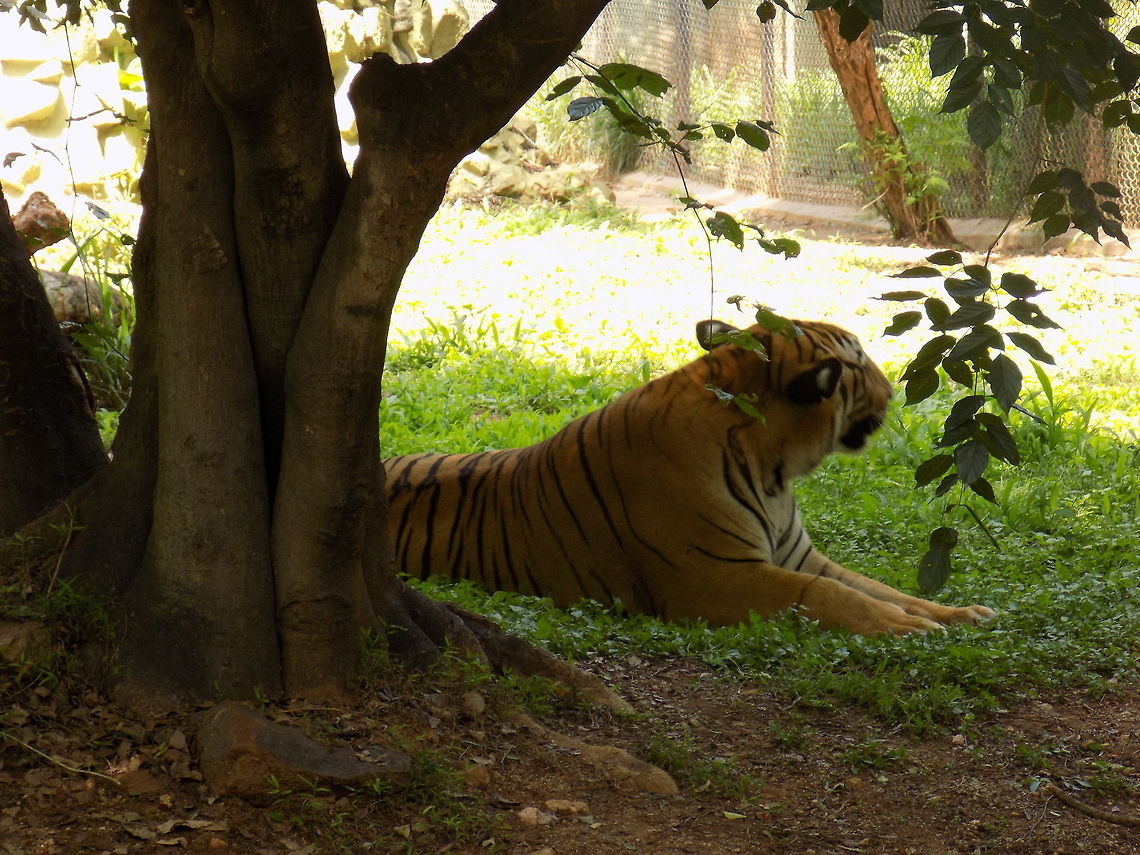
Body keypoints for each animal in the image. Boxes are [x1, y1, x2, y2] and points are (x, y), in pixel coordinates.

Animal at [384, 317, 994, 635]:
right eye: (861, 361)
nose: (894, 387)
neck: (777, 470)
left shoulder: (797, 556)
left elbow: (879, 587)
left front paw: (961, 613)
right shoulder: (715, 577)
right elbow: (829, 595)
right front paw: (908, 628)